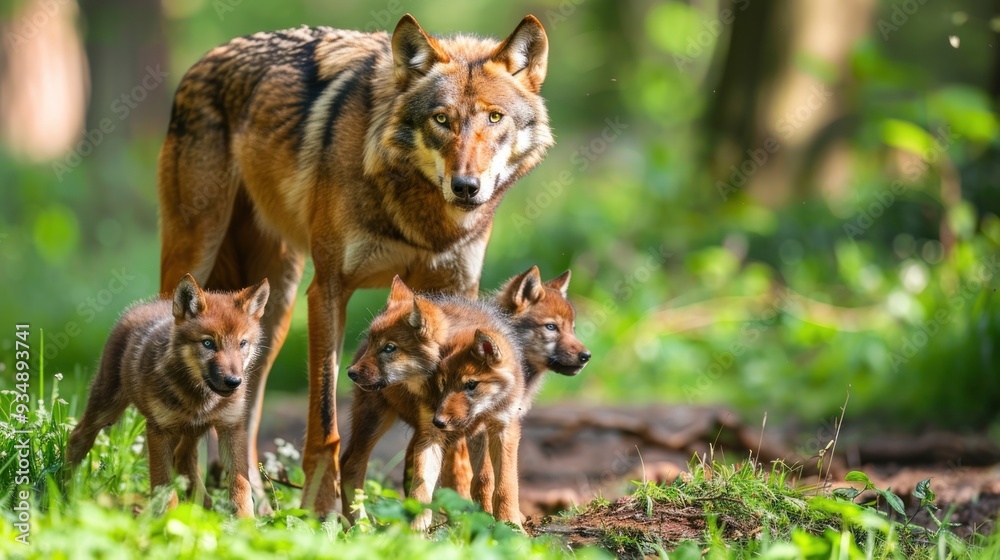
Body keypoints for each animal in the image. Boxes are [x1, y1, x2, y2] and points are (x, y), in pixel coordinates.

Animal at [66, 274, 270, 518]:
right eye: (208, 343)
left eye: (242, 344)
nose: (234, 382)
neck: (200, 398)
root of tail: (144, 305)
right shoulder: (159, 430)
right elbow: (164, 486)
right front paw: (168, 520)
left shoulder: (231, 427)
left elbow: (241, 486)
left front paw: (245, 522)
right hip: (107, 411)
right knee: (76, 438)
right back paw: (63, 492)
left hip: (194, 430)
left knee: (183, 459)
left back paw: (204, 507)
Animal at [157, 13, 552, 513]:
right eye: (441, 119)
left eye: (494, 117)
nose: (466, 187)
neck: (421, 220)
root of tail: (206, 59)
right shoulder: (328, 289)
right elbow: (326, 420)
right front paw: (321, 509)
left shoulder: (457, 292)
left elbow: (458, 420)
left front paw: (458, 505)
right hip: (201, 262)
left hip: (269, 313)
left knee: (245, 410)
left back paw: (258, 505)